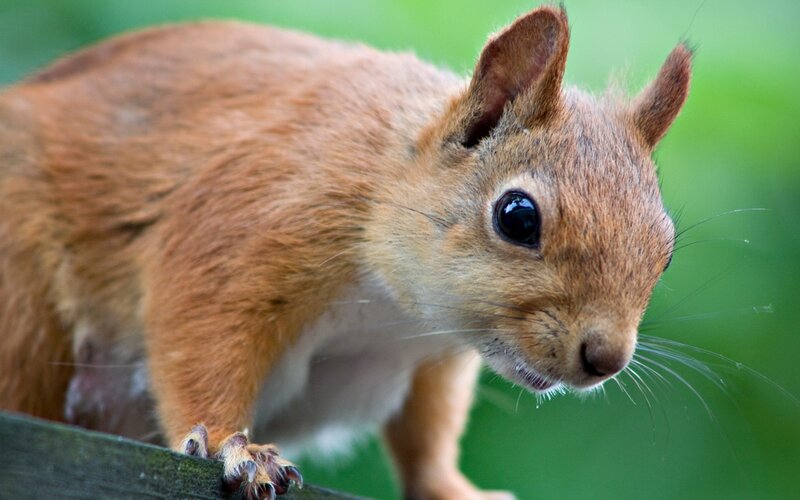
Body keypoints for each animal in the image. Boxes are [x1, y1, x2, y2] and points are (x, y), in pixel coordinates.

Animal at [0, 6, 690, 500]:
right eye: (517, 217)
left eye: (667, 251)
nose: (605, 359)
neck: (392, 310)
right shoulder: (248, 223)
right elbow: (199, 339)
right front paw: (233, 448)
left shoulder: (431, 358)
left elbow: (426, 435)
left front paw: (451, 489)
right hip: (23, 294)